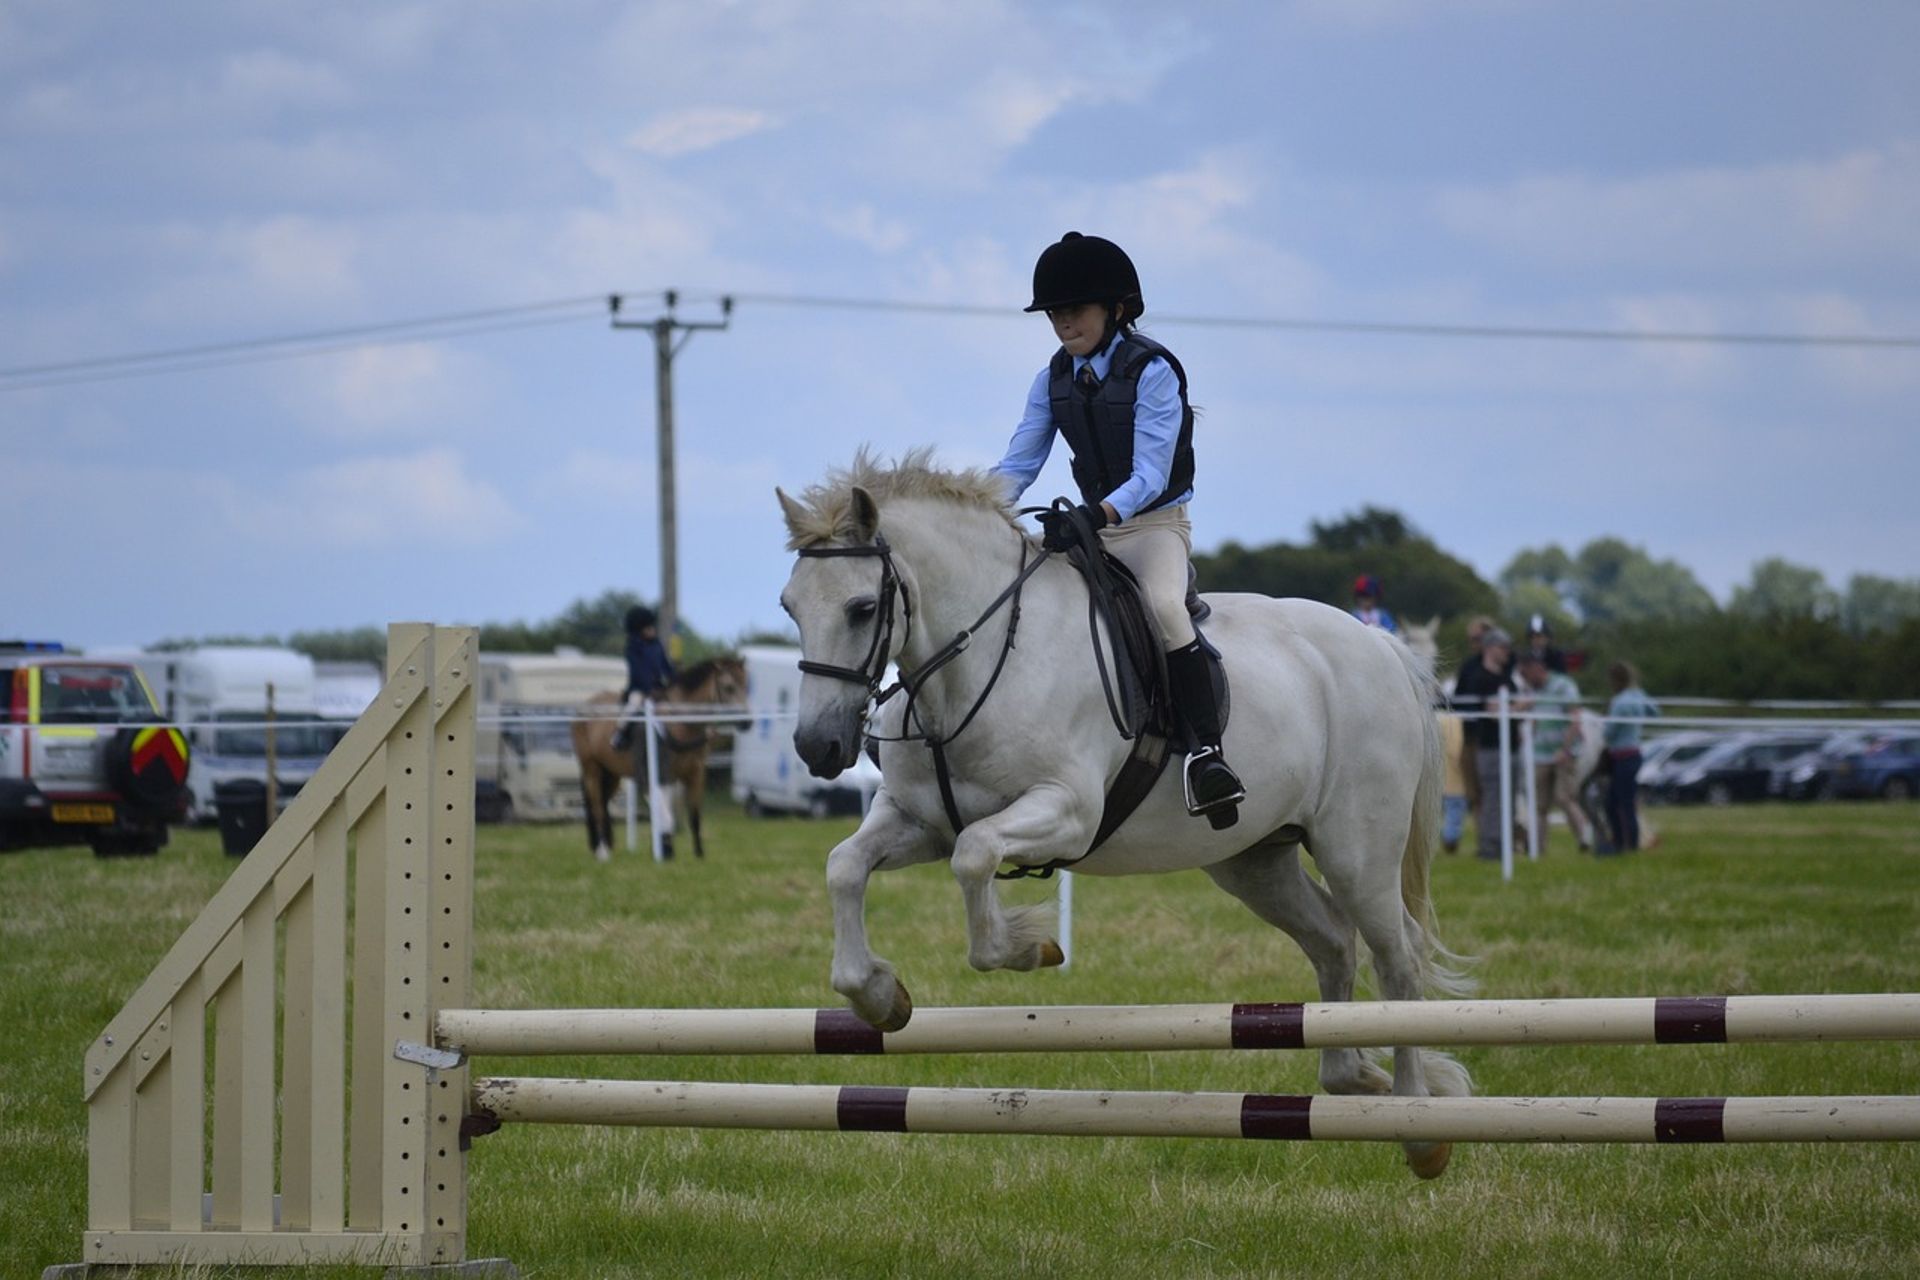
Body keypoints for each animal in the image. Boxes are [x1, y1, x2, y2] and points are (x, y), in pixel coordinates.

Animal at [564, 660, 744, 859]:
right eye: (728, 687)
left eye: (747, 684)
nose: (747, 722)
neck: (682, 723)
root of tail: (583, 708)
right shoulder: (663, 773)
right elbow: (664, 810)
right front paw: (666, 849)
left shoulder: (696, 774)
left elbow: (694, 815)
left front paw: (698, 854)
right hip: (592, 769)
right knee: (596, 808)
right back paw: (603, 852)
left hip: (611, 774)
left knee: (602, 804)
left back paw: (601, 847)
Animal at [771, 450, 1474, 1182]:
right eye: (789, 607)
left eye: (862, 608)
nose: (818, 748)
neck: (983, 660)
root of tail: (1378, 646)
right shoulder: (918, 821)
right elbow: (846, 866)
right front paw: (881, 996)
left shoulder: (1068, 812)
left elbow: (976, 857)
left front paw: (1029, 947)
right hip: (1255, 861)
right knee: (1335, 940)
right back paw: (1355, 1077)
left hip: (1356, 852)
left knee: (1397, 960)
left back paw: (1418, 1121)